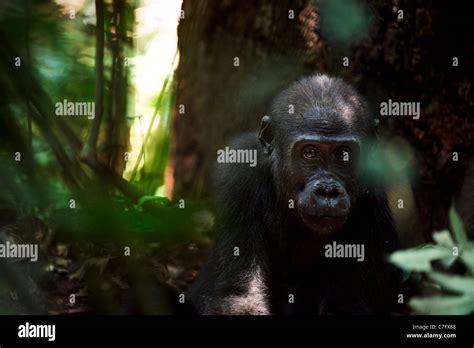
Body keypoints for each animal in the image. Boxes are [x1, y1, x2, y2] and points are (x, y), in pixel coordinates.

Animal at [191, 75, 402, 314]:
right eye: (309, 152)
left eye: (343, 154)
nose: (327, 191)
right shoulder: (237, 175)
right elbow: (239, 296)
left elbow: (351, 303)